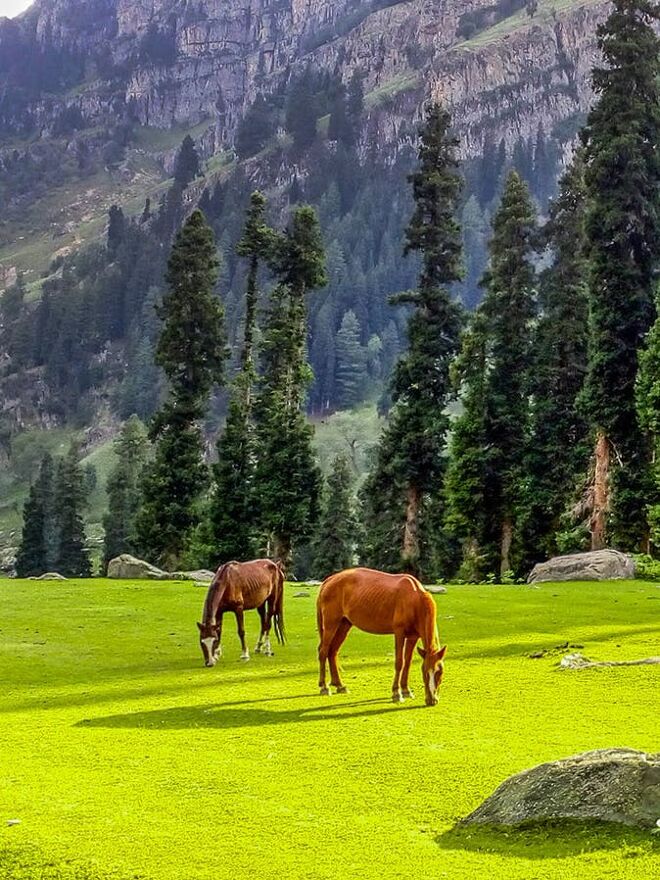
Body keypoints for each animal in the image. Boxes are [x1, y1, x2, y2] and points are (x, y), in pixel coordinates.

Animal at [316, 572, 448, 708]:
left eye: (440, 672)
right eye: (425, 672)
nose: (432, 700)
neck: (414, 599)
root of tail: (330, 580)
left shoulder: (413, 637)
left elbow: (407, 662)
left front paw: (406, 690)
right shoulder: (399, 633)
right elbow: (399, 663)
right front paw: (396, 693)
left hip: (344, 625)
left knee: (332, 651)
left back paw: (339, 685)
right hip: (331, 624)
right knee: (323, 651)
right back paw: (324, 687)